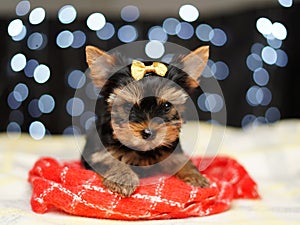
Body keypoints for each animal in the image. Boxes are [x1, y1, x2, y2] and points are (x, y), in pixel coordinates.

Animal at [81, 44, 210, 196]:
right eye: (127, 106)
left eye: (166, 106)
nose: (148, 133)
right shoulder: (98, 151)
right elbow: (108, 159)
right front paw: (124, 178)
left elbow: (181, 160)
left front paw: (195, 176)